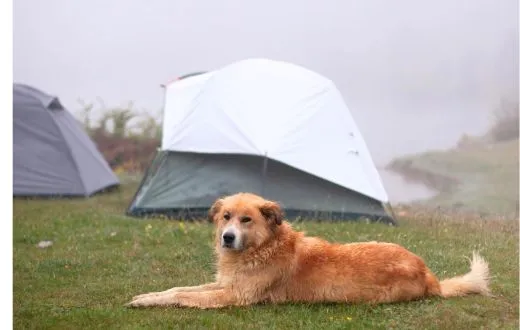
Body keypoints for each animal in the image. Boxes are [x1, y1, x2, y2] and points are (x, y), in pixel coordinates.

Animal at [127, 192, 492, 308]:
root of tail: (429, 274)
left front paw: (148, 302)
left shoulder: (235, 296)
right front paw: (146, 296)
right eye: (226, 217)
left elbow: (184, 296)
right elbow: (177, 288)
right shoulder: (223, 284)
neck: (263, 247)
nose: (227, 238)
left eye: (246, 219)